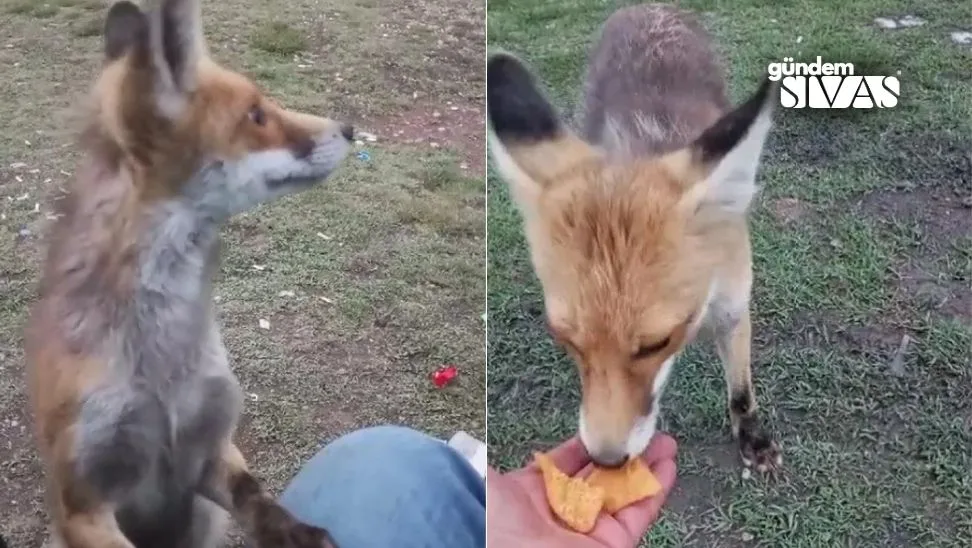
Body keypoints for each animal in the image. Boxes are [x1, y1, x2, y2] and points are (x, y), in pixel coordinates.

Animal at [23, 1, 354, 548]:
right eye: (256, 115)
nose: (349, 128)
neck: (161, 364)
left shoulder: (209, 451)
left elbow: (262, 503)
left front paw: (303, 533)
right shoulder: (85, 501)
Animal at [486, 2, 784, 474]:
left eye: (655, 344)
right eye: (566, 338)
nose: (606, 460)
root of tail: (649, 8)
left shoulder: (734, 305)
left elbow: (740, 390)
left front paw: (752, 437)